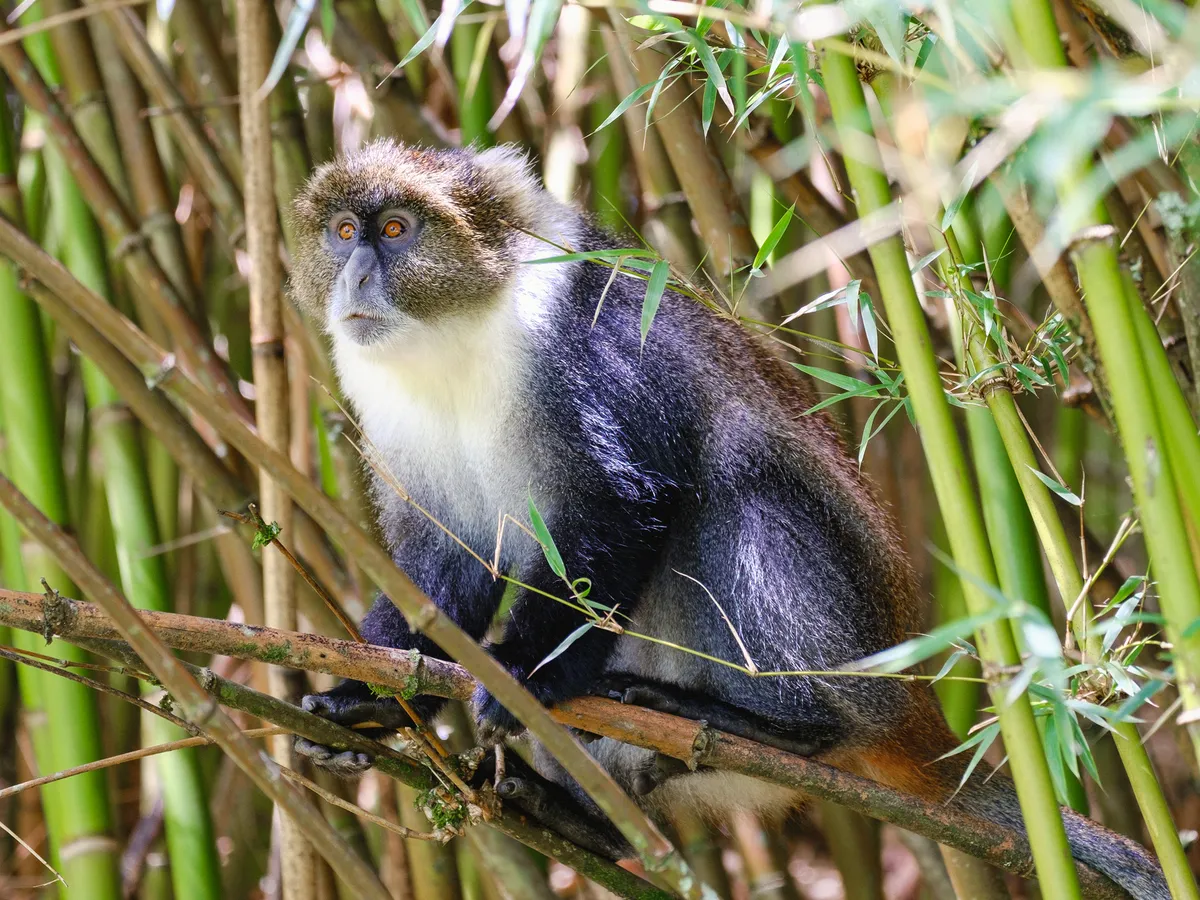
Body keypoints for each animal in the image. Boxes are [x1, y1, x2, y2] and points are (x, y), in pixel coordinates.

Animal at [290, 141, 1171, 900]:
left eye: (397, 230)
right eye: (344, 232)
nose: (356, 280)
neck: (458, 331)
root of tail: (914, 719)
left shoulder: (581, 359)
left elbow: (626, 505)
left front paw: (529, 675)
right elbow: (450, 565)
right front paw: (364, 700)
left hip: (843, 656)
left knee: (740, 481)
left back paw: (775, 724)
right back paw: (586, 820)